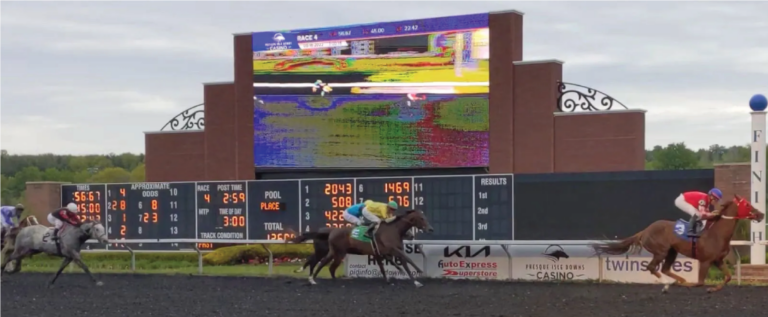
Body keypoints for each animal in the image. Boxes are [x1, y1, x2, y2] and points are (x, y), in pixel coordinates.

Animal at [308, 210, 436, 286]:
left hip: (334, 252)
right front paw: (420, 271)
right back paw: (315, 280)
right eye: (421, 218)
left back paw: (317, 279)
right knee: (328, 265)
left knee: (325, 264)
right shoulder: (392, 249)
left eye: (425, 217)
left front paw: (415, 281)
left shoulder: (388, 251)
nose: (431, 229)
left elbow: (403, 264)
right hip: (339, 253)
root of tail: (332, 231)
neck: (394, 230)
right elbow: (407, 259)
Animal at [588, 194, 760, 292]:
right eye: (747, 205)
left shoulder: (718, 260)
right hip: (661, 251)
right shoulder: (706, 261)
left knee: (664, 268)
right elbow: (699, 283)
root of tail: (645, 230)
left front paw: (713, 288)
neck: (716, 233)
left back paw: (679, 280)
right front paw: (690, 285)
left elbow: (728, 277)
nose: (761, 214)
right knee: (652, 267)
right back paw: (667, 285)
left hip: (672, 251)